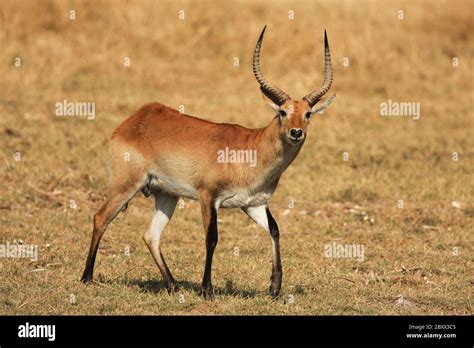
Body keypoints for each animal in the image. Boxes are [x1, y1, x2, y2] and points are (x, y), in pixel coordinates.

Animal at [80, 26, 334, 300]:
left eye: (307, 113)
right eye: (282, 112)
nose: (296, 132)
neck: (250, 149)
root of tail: (135, 120)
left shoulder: (254, 204)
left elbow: (275, 229)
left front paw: (274, 288)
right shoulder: (208, 197)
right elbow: (211, 238)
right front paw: (207, 290)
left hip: (167, 195)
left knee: (151, 235)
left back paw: (173, 286)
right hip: (126, 187)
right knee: (100, 218)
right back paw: (86, 278)